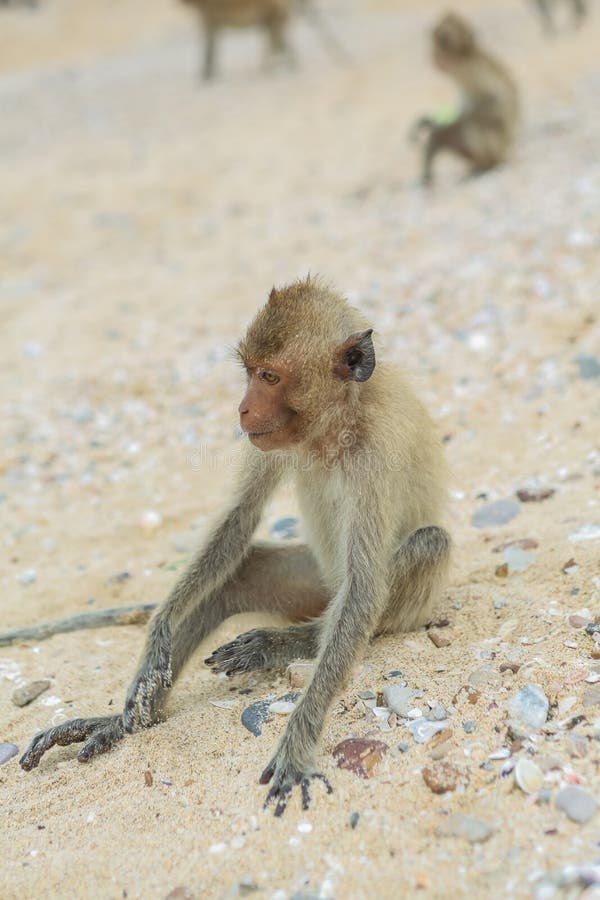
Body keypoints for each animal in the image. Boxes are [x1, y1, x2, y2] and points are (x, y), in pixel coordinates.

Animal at [20, 277, 451, 816]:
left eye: (269, 376)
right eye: (250, 373)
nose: (242, 408)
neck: (336, 423)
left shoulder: (375, 453)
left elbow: (365, 588)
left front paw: (296, 746)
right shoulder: (269, 437)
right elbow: (237, 521)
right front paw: (158, 635)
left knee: (424, 547)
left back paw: (286, 641)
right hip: (313, 580)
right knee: (237, 576)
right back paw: (123, 724)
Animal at [411, 12, 519, 186]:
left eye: (444, 40)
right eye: (433, 37)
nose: (433, 56)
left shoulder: (473, 71)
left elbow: (495, 100)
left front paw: (445, 127)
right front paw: (433, 125)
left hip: (499, 147)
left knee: (474, 125)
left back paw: (488, 165)